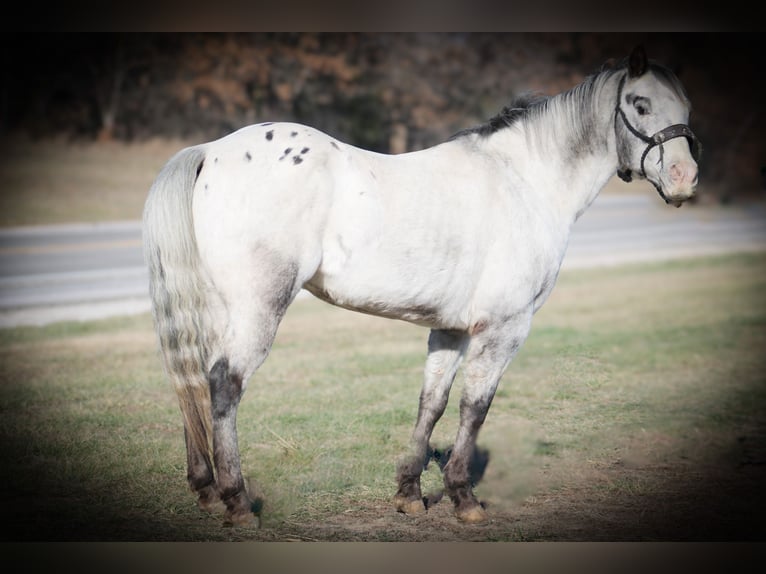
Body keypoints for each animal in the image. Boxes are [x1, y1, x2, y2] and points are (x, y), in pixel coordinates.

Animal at [142, 46, 701, 527]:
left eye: (687, 107)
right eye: (640, 104)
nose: (684, 179)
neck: (523, 180)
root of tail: (210, 151)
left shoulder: (450, 329)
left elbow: (431, 402)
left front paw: (410, 494)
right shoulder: (505, 328)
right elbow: (476, 407)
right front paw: (463, 498)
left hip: (218, 311)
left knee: (192, 379)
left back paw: (206, 491)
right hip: (259, 308)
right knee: (224, 384)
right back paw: (236, 502)